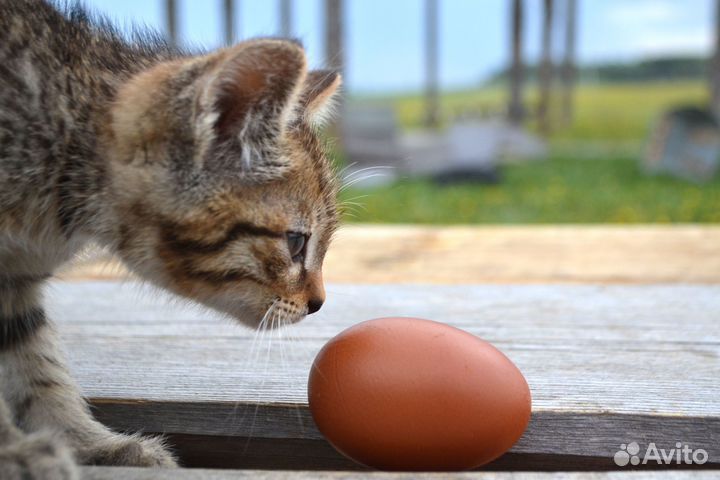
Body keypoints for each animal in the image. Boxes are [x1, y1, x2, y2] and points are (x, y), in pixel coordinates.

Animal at [0, 0, 344, 476]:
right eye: (296, 242)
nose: (319, 303)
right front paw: (14, 451)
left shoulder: (16, 279)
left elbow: (37, 369)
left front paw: (88, 443)